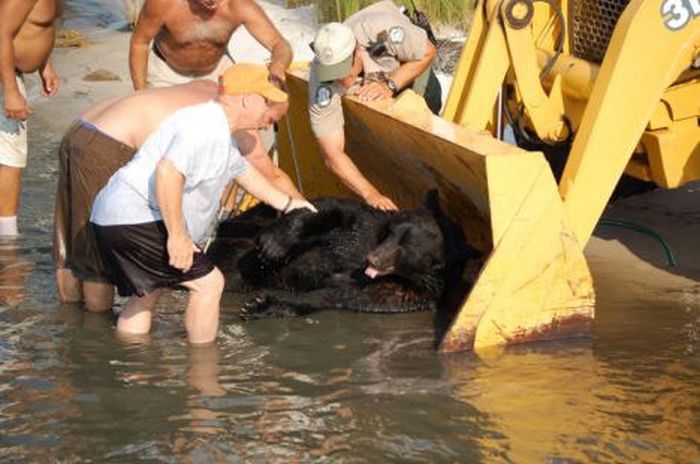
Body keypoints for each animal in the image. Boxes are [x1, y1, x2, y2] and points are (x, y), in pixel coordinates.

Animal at [208, 194, 478, 318]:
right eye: (392, 233)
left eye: (407, 247)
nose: (373, 258)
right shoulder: (366, 225)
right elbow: (330, 210)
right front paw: (275, 243)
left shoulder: (403, 291)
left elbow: (336, 295)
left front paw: (261, 305)